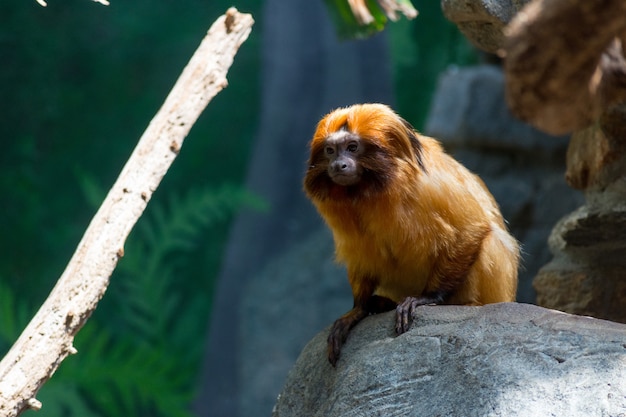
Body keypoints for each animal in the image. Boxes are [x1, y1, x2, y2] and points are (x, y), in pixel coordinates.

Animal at [302, 102, 516, 366]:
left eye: (352, 148)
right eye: (331, 150)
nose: (338, 165)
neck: (370, 189)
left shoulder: (431, 185)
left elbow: (471, 227)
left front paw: (428, 297)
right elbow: (361, 255)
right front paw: (359, 308)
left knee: (490, 240)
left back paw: (467, 303)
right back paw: (381, 303)